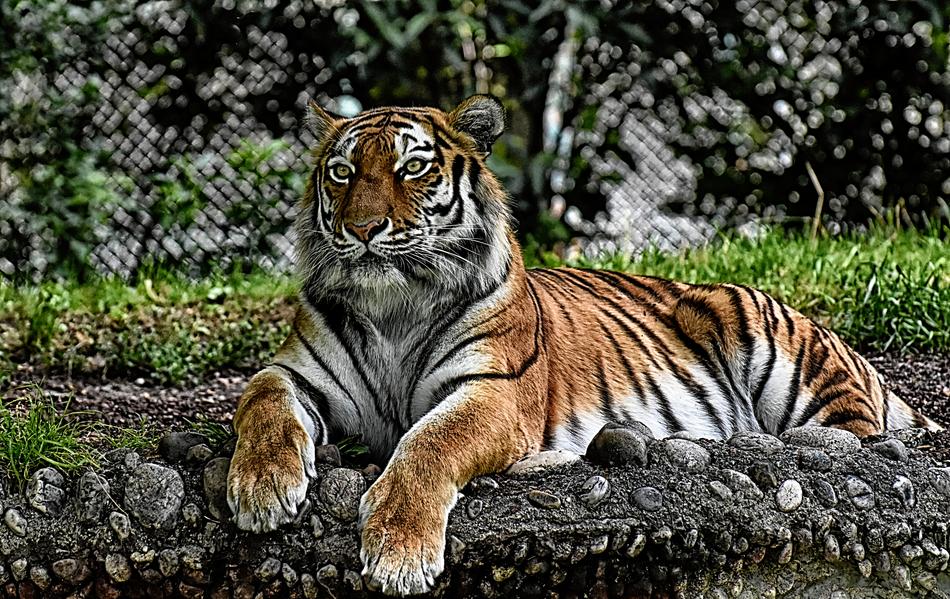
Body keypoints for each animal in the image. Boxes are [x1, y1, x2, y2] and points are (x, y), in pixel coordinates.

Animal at [225, 94, 941, 595]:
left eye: (413, 168)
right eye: (343, 172)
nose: (363, 228)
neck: (393, 305)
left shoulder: (493, 392)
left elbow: (429, 444)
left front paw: (398, 552)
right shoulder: (297, 371)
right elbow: (261, 400)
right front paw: (262, 490)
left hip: (785, 353)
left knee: (857, 439)